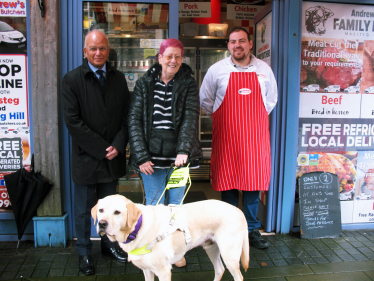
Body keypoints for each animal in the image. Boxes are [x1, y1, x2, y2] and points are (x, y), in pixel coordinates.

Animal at [91, 195, 248, 280]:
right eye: (101, 210)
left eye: (117, 212)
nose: (102, 224)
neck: (137, 228)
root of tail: (239, 210)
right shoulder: (147, 270)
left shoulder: (164, 271)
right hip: (211, 248)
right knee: (220, 270)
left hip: (229, 255)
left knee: (238, 276)